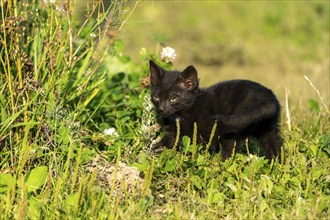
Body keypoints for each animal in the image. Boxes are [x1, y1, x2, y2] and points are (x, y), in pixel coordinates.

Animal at [150, 60, 282, 160]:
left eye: (173, 99)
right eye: (156, 98)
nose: (161, 109)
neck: (180, 115)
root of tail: (268, 97)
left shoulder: (206, 134)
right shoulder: (172, 135)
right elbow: (160, 146)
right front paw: (150, 154)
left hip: (234, 128)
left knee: (229, 151)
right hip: (267, 129)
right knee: (275, 148)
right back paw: (275, 167)